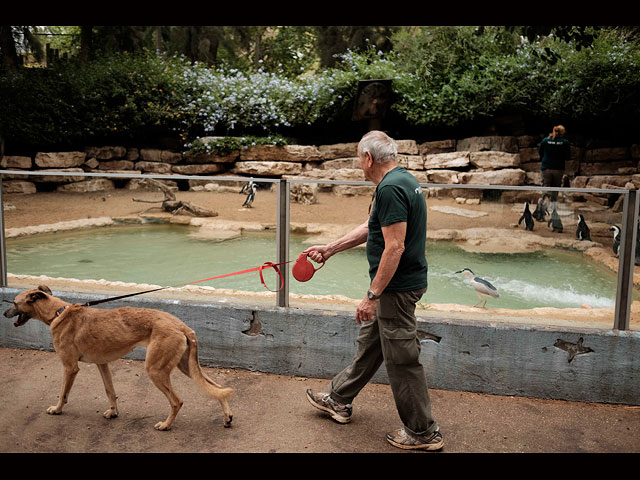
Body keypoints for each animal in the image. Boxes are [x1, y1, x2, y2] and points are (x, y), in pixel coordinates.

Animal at [3, 284, 234, 432]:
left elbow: (63, 393)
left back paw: (166, 425)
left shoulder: (70, 367)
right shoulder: (102, 364)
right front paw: (113, 412)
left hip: (156, 370)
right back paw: (227, 417)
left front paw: (57, 409)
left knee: (177, 401)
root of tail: (181, 326)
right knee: (218, 388)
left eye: (14, 302)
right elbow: (110, 391)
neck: (59, 312)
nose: (4, 313)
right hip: (186, 366)